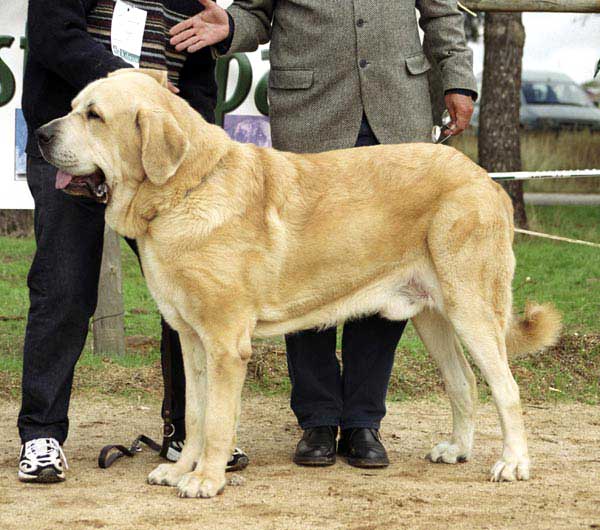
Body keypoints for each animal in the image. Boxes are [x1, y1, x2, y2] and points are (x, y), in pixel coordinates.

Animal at [36, 69, 564, 496]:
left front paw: (206, 479)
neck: (184, 191)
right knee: (464, 383)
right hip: (433, 316)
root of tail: (486, 179)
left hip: (471, 308)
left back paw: (513, 464)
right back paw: (456, 449)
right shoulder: (191, 339)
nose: (40, 134)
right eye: (73, 107)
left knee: (506, 388)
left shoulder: (225, 342)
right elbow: (195, 415)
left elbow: (218, 420)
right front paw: (181, 469)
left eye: (94, 115)